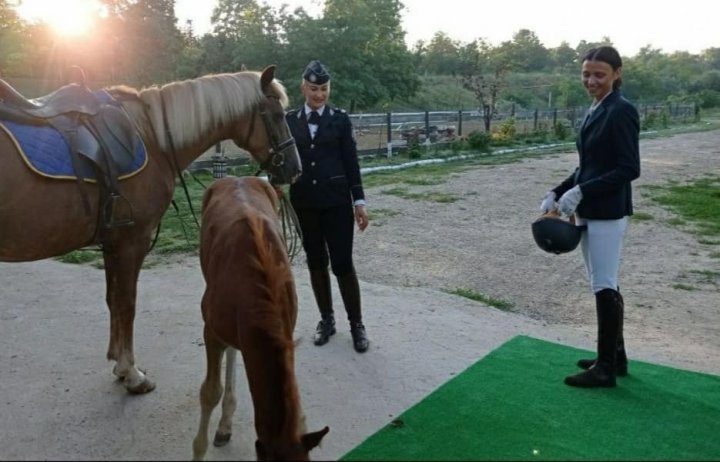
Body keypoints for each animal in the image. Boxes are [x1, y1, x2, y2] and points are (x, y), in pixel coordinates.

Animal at [0, 65, 300, 392]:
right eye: (277, 115)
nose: (294, 168)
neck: (152, 136)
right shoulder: (133, 241)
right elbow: (127, 304)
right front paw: (131, 373)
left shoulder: (113, 242)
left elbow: (113, 300)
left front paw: (117, 363)